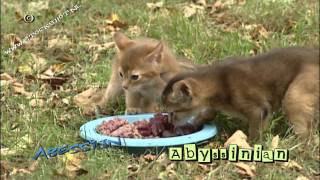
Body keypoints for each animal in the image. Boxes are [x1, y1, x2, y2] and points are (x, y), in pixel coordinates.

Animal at [164, 46, 318, 139]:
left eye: (173, 112)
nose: (170, 123)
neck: (220, 81)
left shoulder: (258, 110)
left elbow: (255, 132)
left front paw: (251, 147)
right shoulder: (211, 107)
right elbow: (205, 114)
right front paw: (194, 124)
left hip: (295, 94)